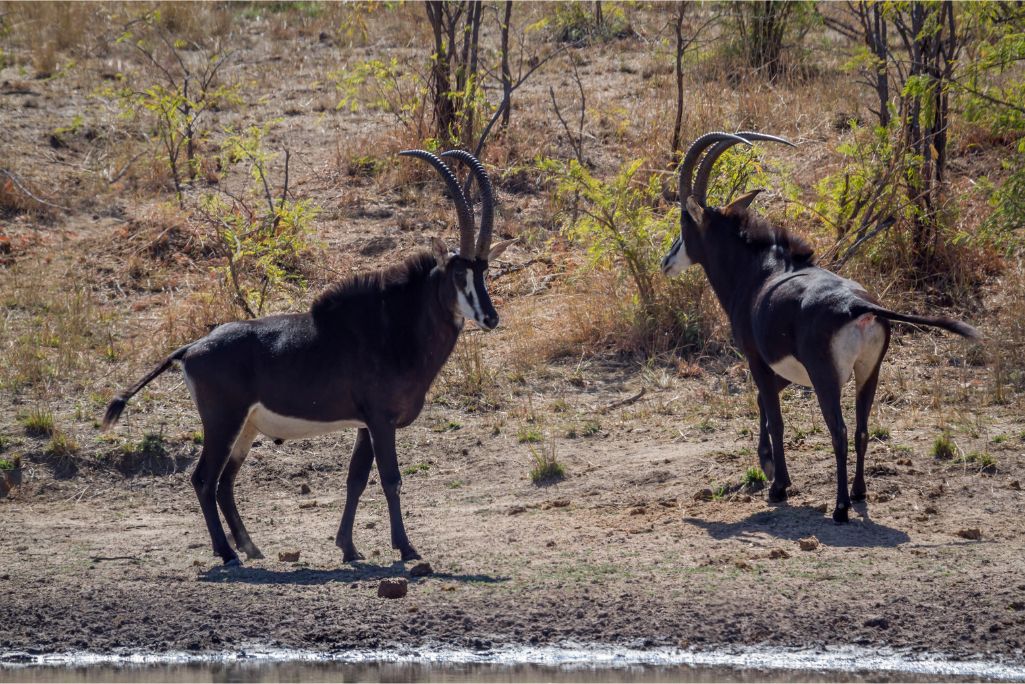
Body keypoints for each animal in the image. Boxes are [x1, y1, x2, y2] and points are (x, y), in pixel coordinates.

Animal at [103, 149, 516, 566]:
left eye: (485, 272)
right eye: (459, 275)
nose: (491, 318)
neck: (393, 327)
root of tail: (191, 348)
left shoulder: (365, 425)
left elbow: (355, 480)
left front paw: (348, 547)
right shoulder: (381, 421)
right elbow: (391, 479)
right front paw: (406, 547)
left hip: (245, 427)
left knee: (224, 482)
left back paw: (251, 547)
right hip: (222, 422)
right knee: (203, 479)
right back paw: (228, 553)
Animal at [660, 131, 979, 520]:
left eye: (683, 224)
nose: (666, 261)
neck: (759, 271)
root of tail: (858, 306)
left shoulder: (758, 359)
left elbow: (775, 416)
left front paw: (778, 485)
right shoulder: (786, 368)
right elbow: (763, 401)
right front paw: (767, 464)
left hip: (826, 377)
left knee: (839, 431)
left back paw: (841, 507)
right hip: (868, 372)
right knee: (861, 429)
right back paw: (858, 492)